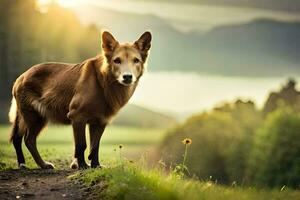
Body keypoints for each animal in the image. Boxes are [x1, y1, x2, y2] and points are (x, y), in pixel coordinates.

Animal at [8, 30, 152, 169]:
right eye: (117, 60)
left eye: (136, 60)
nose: (127, 77)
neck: (103, 82)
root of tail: (21, 76)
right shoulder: (77, 117)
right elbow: (81, 145)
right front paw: (82, 166)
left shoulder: (100, 121)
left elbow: (95, 146)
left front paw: (95, 166)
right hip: (35, 117)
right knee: (29, 140)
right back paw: (41, 164)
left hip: (31, 117)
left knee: (17, 138)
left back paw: (24, 163)